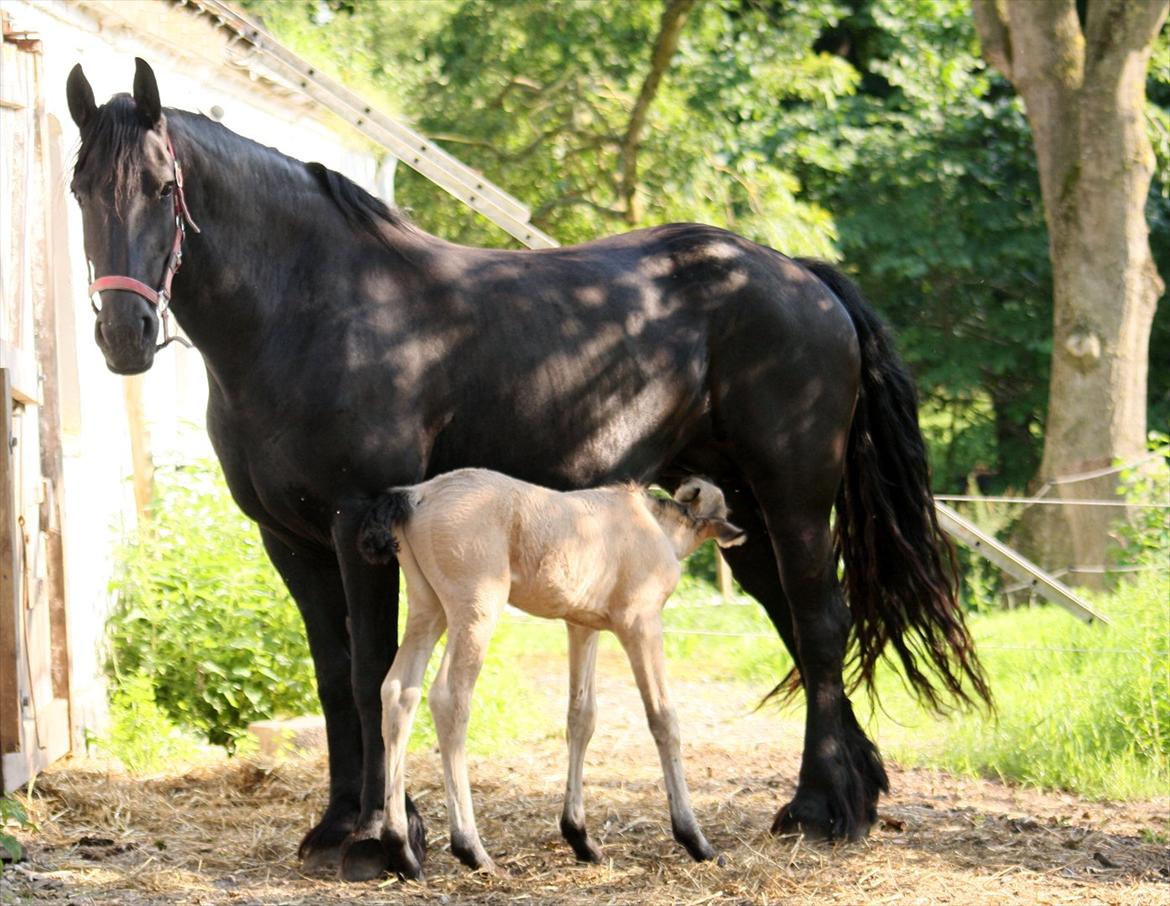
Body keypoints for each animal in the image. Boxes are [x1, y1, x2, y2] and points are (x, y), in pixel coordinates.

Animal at [66, 60, 987, 884]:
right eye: (79, 188)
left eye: (161, 186)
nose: (123, 334)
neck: (316, 307)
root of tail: (803, 277)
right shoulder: (288, 540)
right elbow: (331, 678)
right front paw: (336, 830)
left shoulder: (355, 522)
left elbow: (370, 675)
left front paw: (380, 839)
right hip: (740, 516)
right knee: (801, 624)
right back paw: (856, 794)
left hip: (794, 494)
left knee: (823, 626)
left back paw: (821, 811)